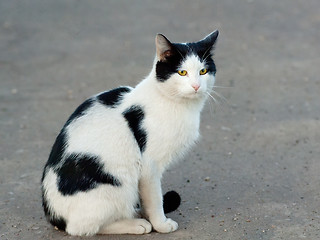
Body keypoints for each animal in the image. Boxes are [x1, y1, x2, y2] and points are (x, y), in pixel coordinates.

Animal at [41, 30, 219, 236]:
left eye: (203, 71)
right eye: (182, 72)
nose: (196, 86)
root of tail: (54, 216)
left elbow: (149, 199)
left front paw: (151, 215)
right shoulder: (149, 166)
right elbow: (155, 199)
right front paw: (161, 224)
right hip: (118, 183)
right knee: (82, 227)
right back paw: (134, 224)